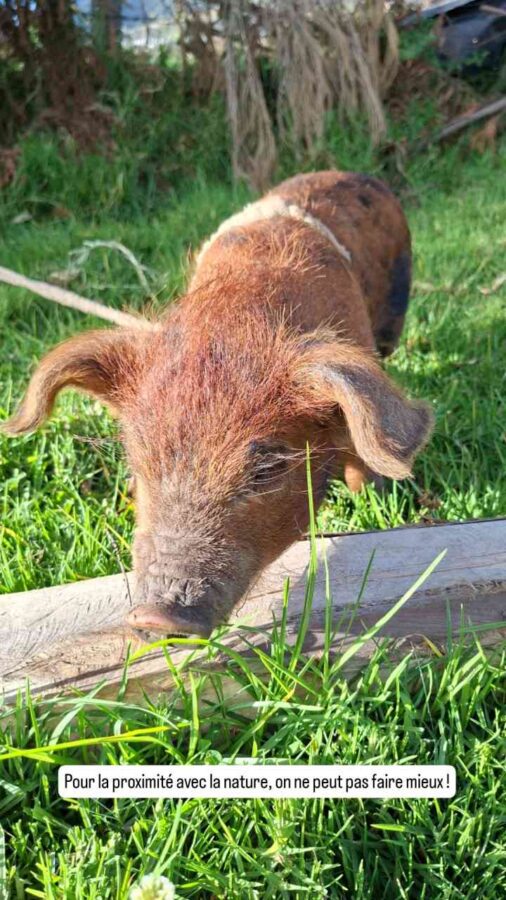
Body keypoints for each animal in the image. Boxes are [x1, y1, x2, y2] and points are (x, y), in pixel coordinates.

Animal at [2, 171, 433, 637]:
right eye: (138, 465)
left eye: (267, 470)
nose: (154, 617)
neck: (236, 319)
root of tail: (356, 175)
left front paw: (379, 499)